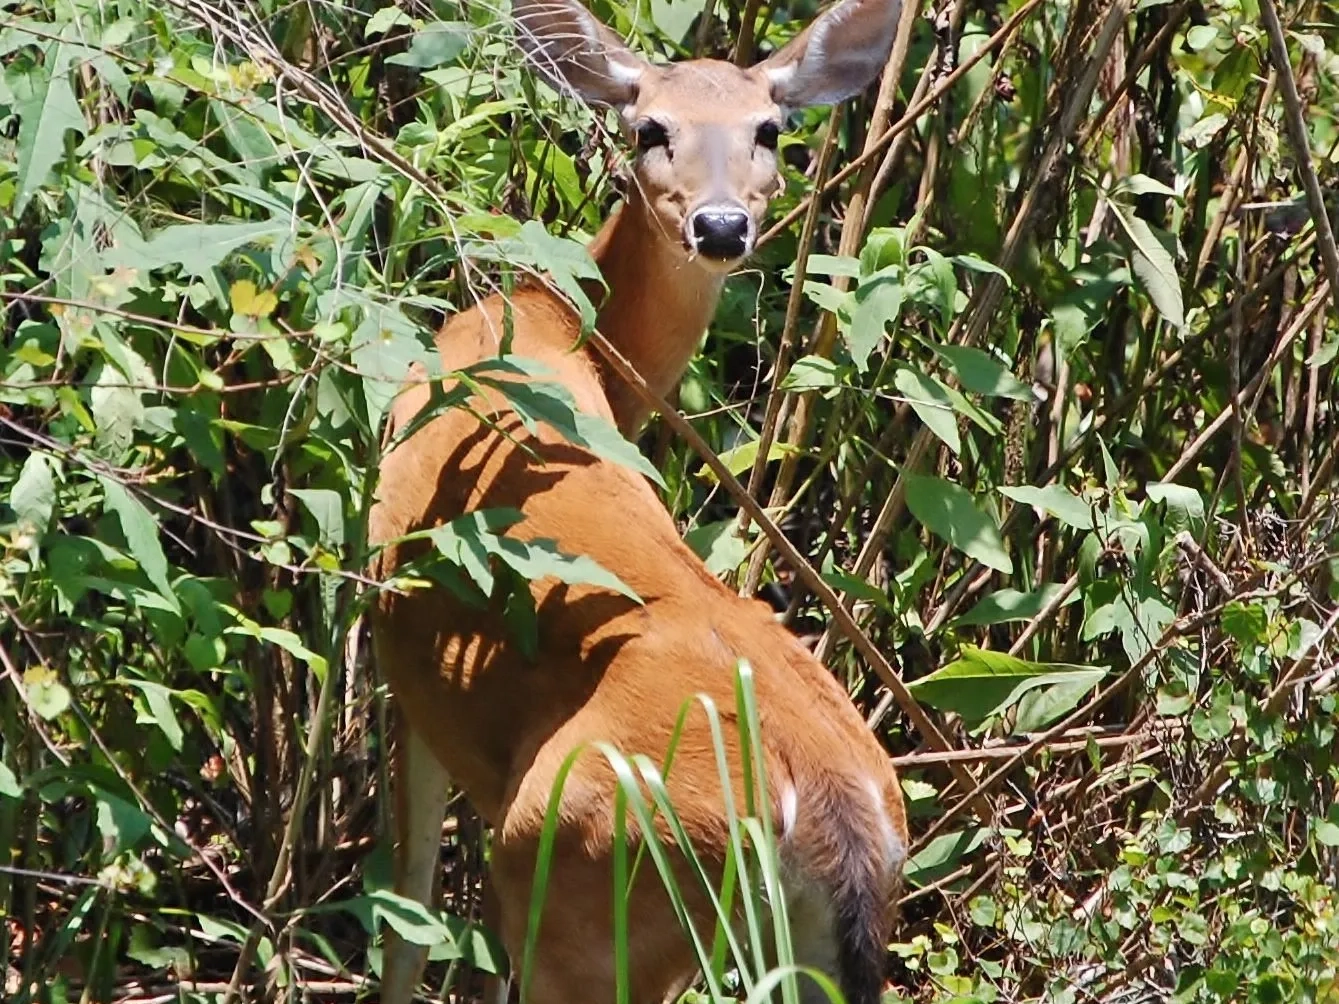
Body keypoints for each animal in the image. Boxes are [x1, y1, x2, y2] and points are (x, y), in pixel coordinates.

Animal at [369, 2, 907, 1003]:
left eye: (768, 129)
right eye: (651, 126)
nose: (722, 224)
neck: (554, 327)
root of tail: (828, 801)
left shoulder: (406, 663)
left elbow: (409, 916)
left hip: (582, 878)